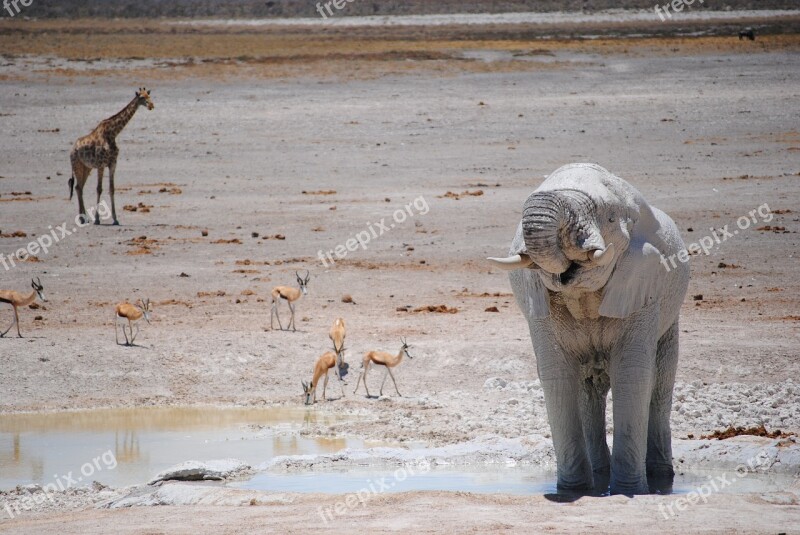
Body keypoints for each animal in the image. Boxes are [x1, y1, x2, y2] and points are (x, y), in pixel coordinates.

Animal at [69, 87, 155, 225]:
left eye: (149, 95)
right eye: (142, 97)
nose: (151, 105)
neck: (112, 133)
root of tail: (72, 150)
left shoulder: (113, 163)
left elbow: (112, 188)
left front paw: (115, 219)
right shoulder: (101, 164)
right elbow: (99, 189)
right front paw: (97, 219)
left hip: (86, 167)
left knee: (78, 187)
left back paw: (84, 218)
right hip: (77, 165)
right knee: (78, 187)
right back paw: (83, 218)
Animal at [490, 164, 692, 498]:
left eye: (608, 218)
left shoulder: (642, 286)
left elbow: (633, 373)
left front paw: (630, 491)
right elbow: (556, 373)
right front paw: (571, 492)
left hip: (670, 315)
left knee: (661, 381)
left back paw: (661, 478)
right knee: (588, 390)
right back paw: (599, 475)